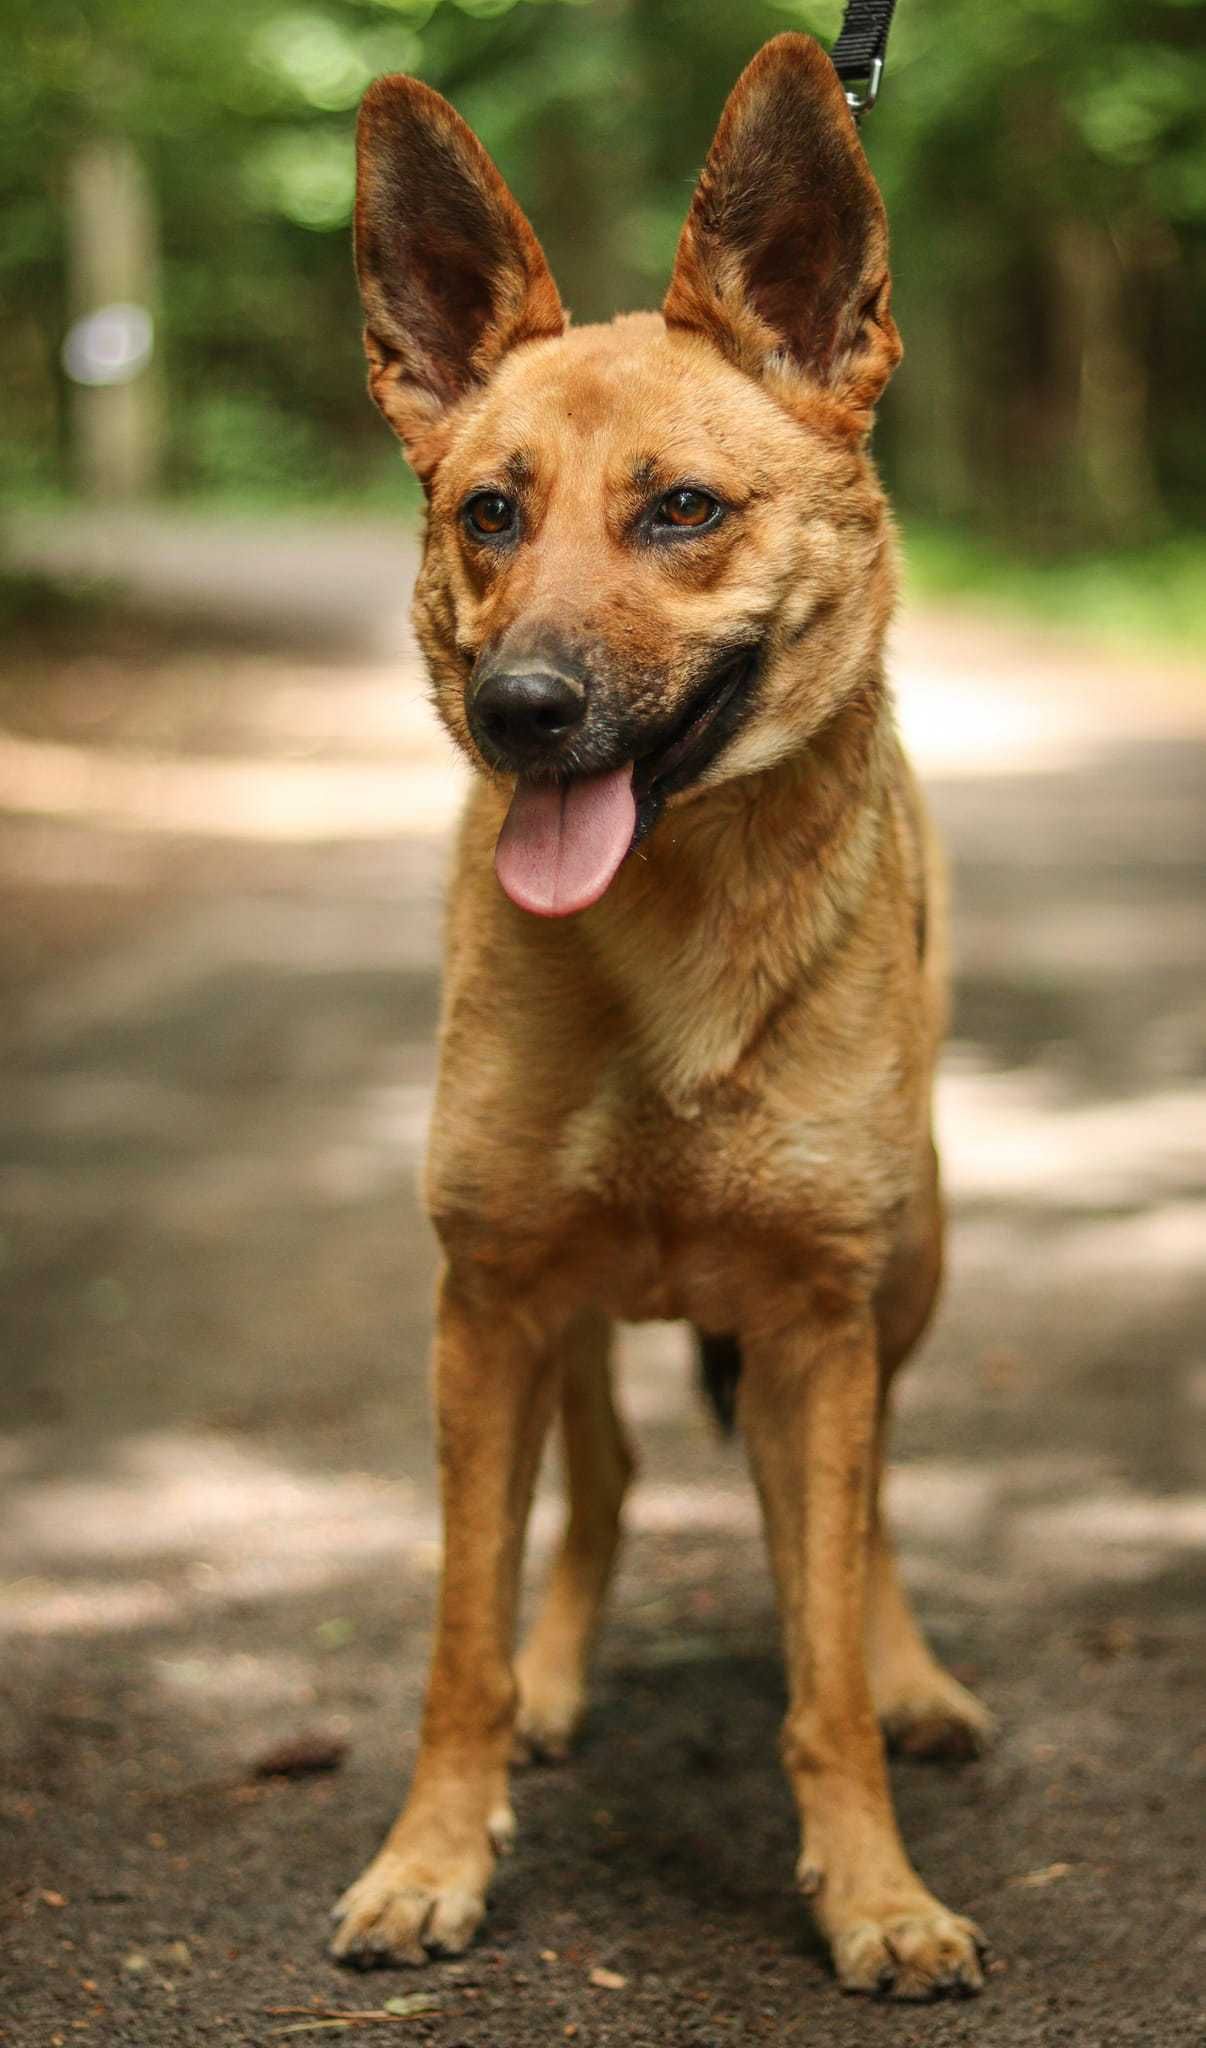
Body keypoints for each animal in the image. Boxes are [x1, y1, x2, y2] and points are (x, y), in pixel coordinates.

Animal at [331, 32, 995, 2007]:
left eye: (679, 510)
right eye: (488, 512)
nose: (521, 710)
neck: (670, 945)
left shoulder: (817, 1319)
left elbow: (821, 1656)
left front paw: (872, 1890)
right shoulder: (484, 1303)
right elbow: (458, 1636)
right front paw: (433, 1855)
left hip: (908, 1265)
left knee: (865, 1516)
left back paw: (914, 1670)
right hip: (553, 1315)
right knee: (605, 1483)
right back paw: (555, 1683)